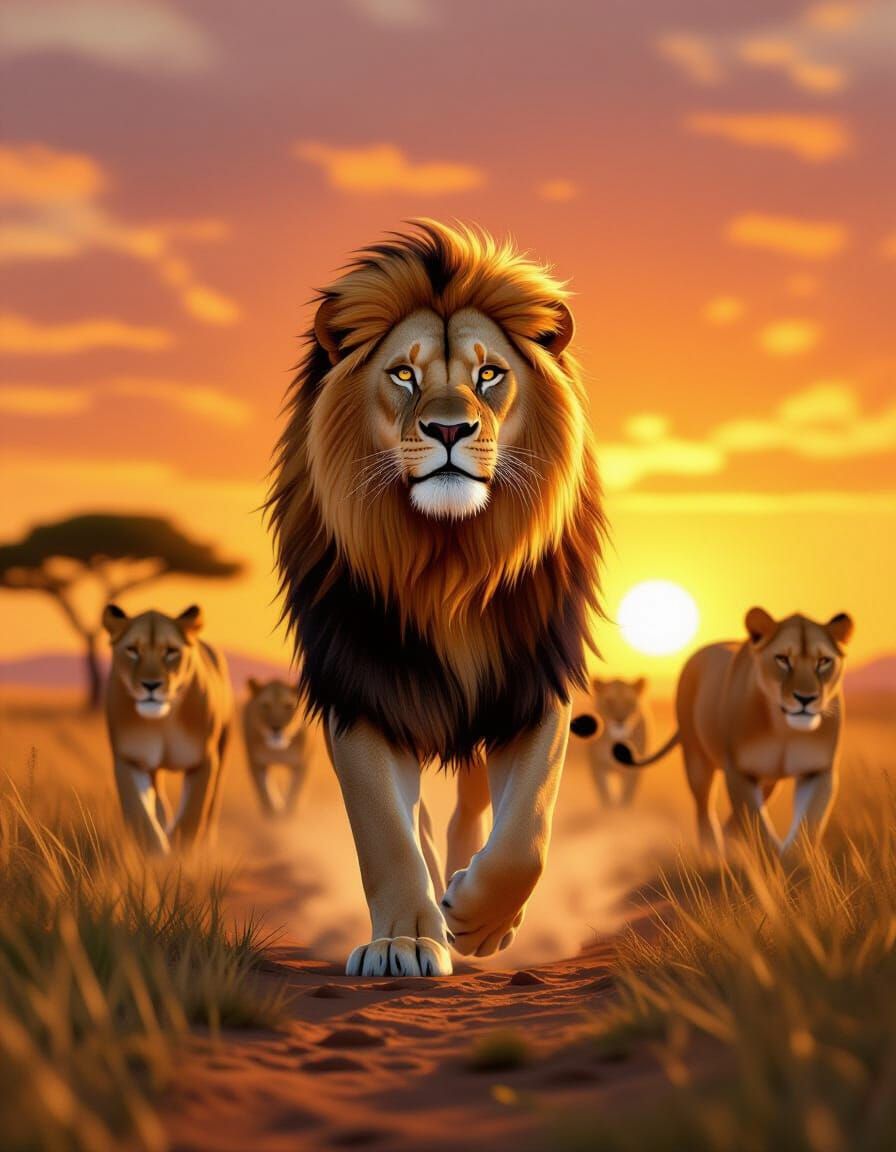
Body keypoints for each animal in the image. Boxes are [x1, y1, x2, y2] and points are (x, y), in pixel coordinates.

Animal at [103, 603, 232, 854]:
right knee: (159, 799)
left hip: (223, 746)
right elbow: (140, 814)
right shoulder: (129, 759)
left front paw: (180, 852)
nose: (151, 685)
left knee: (213, 803)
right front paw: (156, 855)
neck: (163, 723)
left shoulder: (203, 761)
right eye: (133, 650)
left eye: (171, 651)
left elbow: (193, 814)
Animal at [243, 678, 309, 815]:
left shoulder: (302, 762)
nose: (276, 727)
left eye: (288, 706)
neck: (278, 751)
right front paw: (271, 813)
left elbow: (295, 789)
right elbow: (264, 790)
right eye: (265, 705)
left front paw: (289, 813)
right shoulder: (256, 762)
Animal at [268, 220, 605, 977]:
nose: (449, 430)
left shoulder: (535, 682)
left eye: (490, 374)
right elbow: (385, 832)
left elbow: (525, 835)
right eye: (403, 373)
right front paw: (404, 941)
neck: (447, 564)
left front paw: (479, 920)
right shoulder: (360, 686)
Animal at [612, 608, 854, 853]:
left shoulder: (818, 771)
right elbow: (756, 821)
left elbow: (809, 822)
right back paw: (712, 851)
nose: (806, 698)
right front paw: (771, 856)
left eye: (824, 661)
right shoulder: (739, 770)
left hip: (769, 778)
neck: (783, 729)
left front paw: (792, 858)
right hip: (697, 758)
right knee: (704, 808)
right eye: (783, 659)